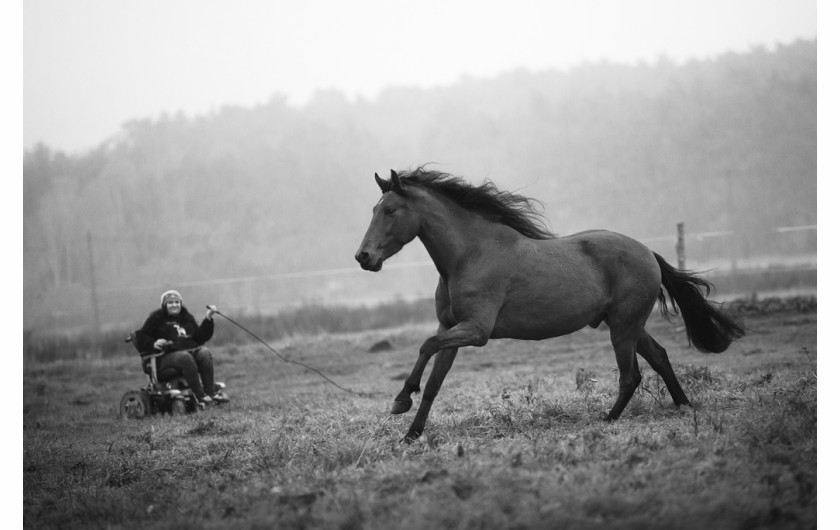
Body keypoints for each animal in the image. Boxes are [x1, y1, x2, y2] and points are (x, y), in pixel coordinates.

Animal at [354, 167, 740, 440]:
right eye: (373, 209)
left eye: (390, 210)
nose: (363, 257)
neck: (469, 255)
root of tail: (647, 252)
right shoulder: (451, 327)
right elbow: (434, 380)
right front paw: (411, 434)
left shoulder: (476, 331)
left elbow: (425, 345)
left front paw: (400, 400)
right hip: (627, 325)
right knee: (658, 357)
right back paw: (683, 404)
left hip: (623, 327)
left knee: (631, 375)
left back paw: (608, 419)